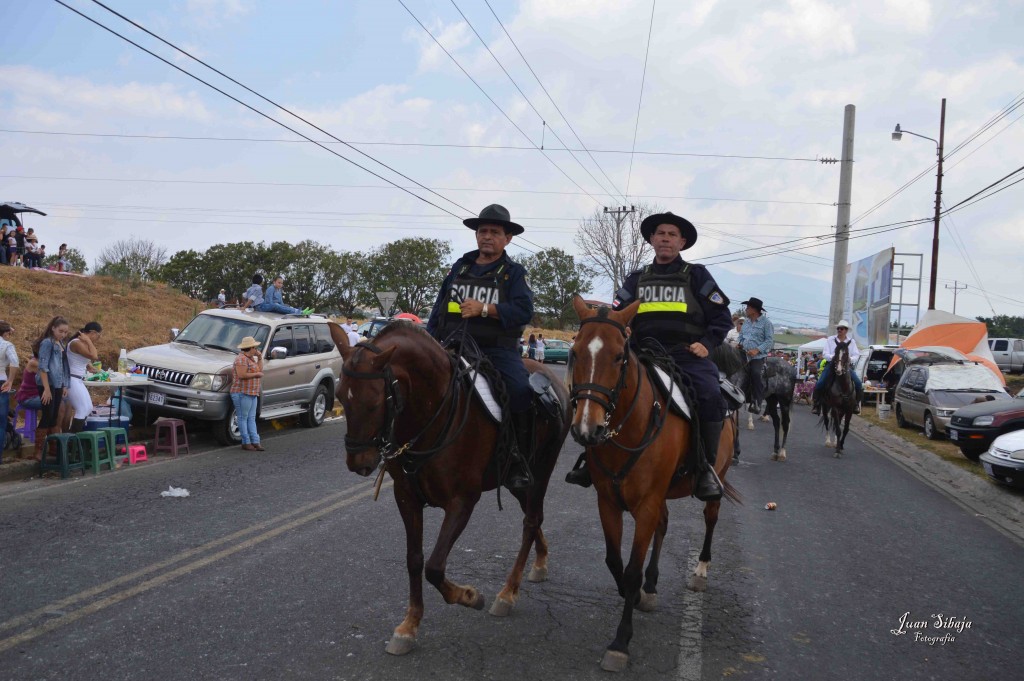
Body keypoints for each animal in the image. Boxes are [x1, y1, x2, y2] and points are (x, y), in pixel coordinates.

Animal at [329, 321, 573, 655]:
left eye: (374, 401)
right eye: (340, 395)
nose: (358, 461)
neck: (433, 415)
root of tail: (554, 380)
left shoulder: (462, 502)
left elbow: (434, 566)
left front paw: (469, 596)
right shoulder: (406, 498)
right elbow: (415, 560)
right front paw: (409, 625)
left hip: (541, 470)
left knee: (531, 520)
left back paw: (508, 592)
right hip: (515, 483)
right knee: (534, 518)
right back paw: (540, 562)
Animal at [565, 296, 741, 667]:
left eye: (619, 356)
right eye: (575, 352)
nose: (587, 429)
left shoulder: (645, 504)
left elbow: (631, 568)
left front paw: (620, 641)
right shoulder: (608, 501)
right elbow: (614, 560)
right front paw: (632, 596)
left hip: (713, 484)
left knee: (710, 518)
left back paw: (700, 571)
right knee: (664, 524)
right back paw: (652, 585)